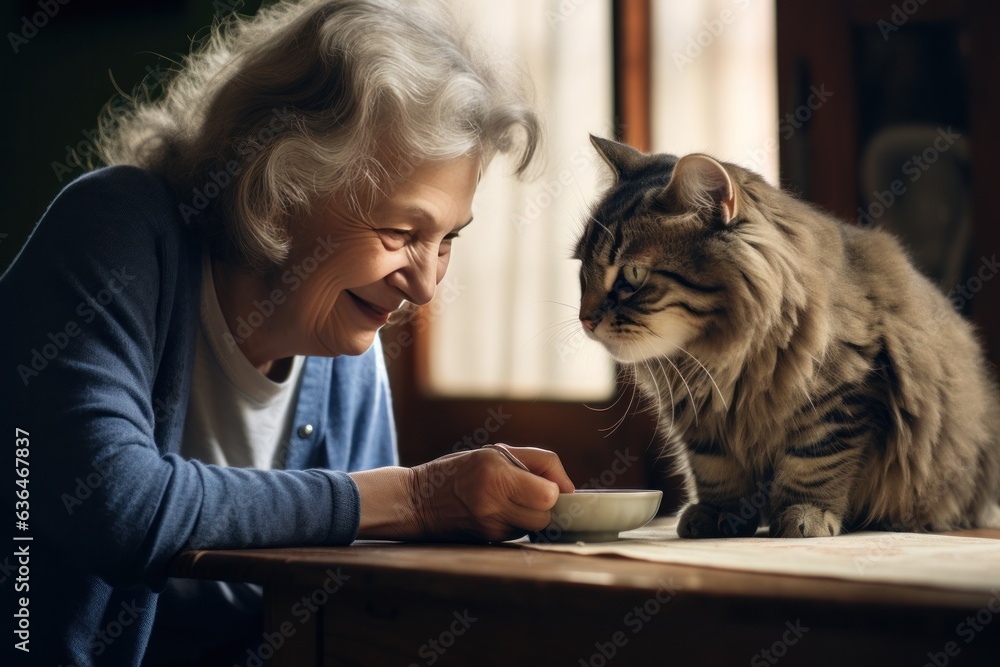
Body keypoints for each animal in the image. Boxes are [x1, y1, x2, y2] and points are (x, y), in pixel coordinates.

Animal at [576, 136, 1000, 536]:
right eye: (583, 273)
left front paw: (805, 515)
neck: (718, 356)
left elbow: (815, 462)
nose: (585, 321)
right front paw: (717, 516)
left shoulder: (842, 392)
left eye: (632, 276)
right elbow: (715, 471)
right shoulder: (700, 419)